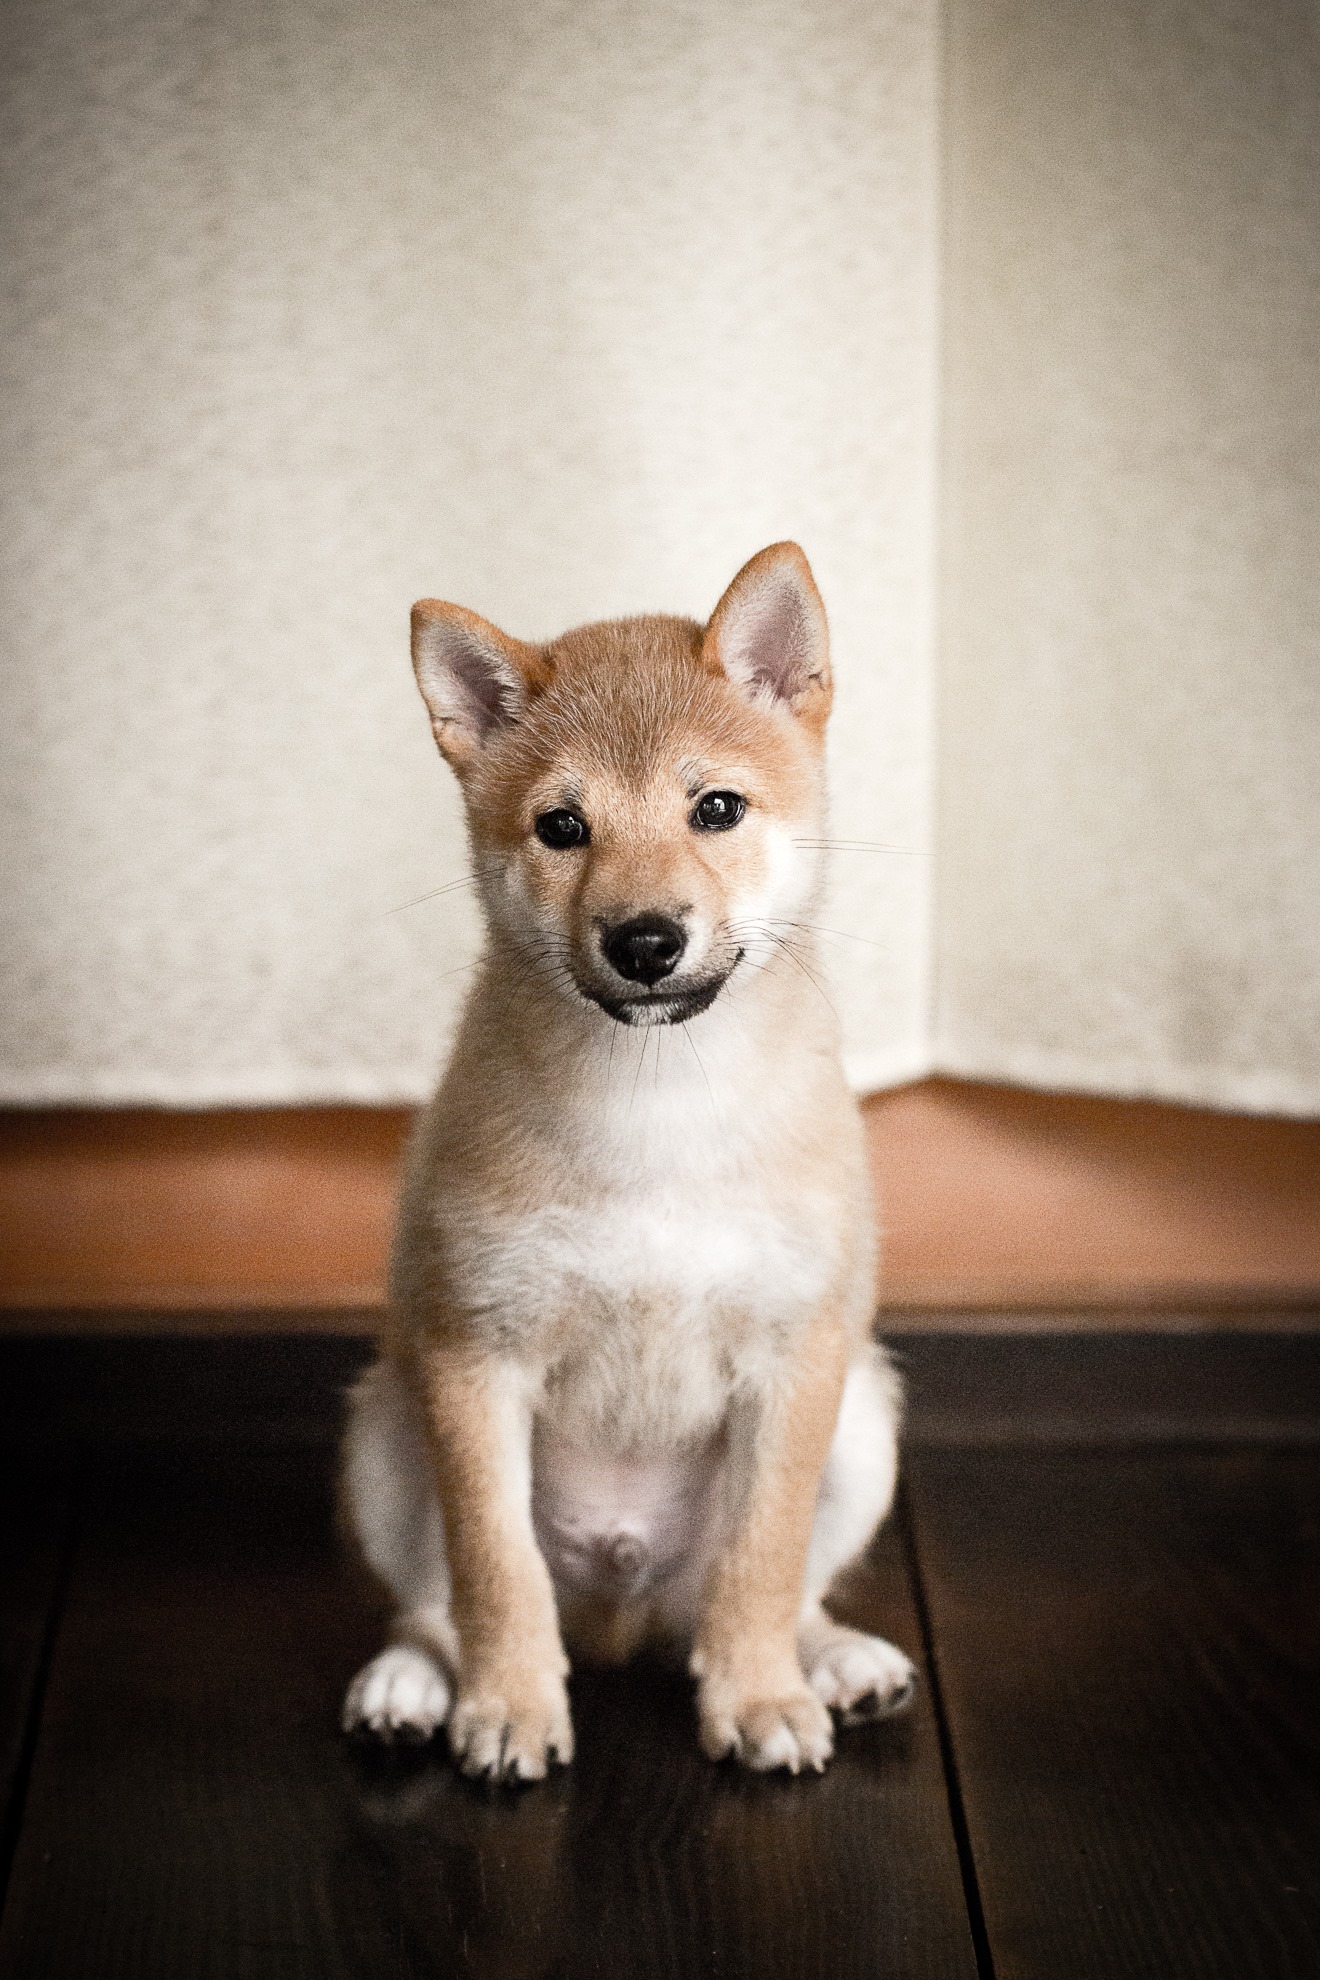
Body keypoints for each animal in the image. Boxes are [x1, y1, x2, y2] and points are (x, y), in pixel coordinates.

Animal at [346, 538, 914, 1782]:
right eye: (563, 828)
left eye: (717, 808)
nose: (645, 940)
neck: (660, 1107)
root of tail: (619, 1618)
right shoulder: (473, 1361)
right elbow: (495, 1573)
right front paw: (508, 1706)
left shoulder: (794, 1365)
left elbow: (760, 1564)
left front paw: (757, 1698)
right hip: (387, 1434)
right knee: (429, 1603)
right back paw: (414, 1681)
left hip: (863, 1422)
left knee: (778, 1593)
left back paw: (831, 1662)